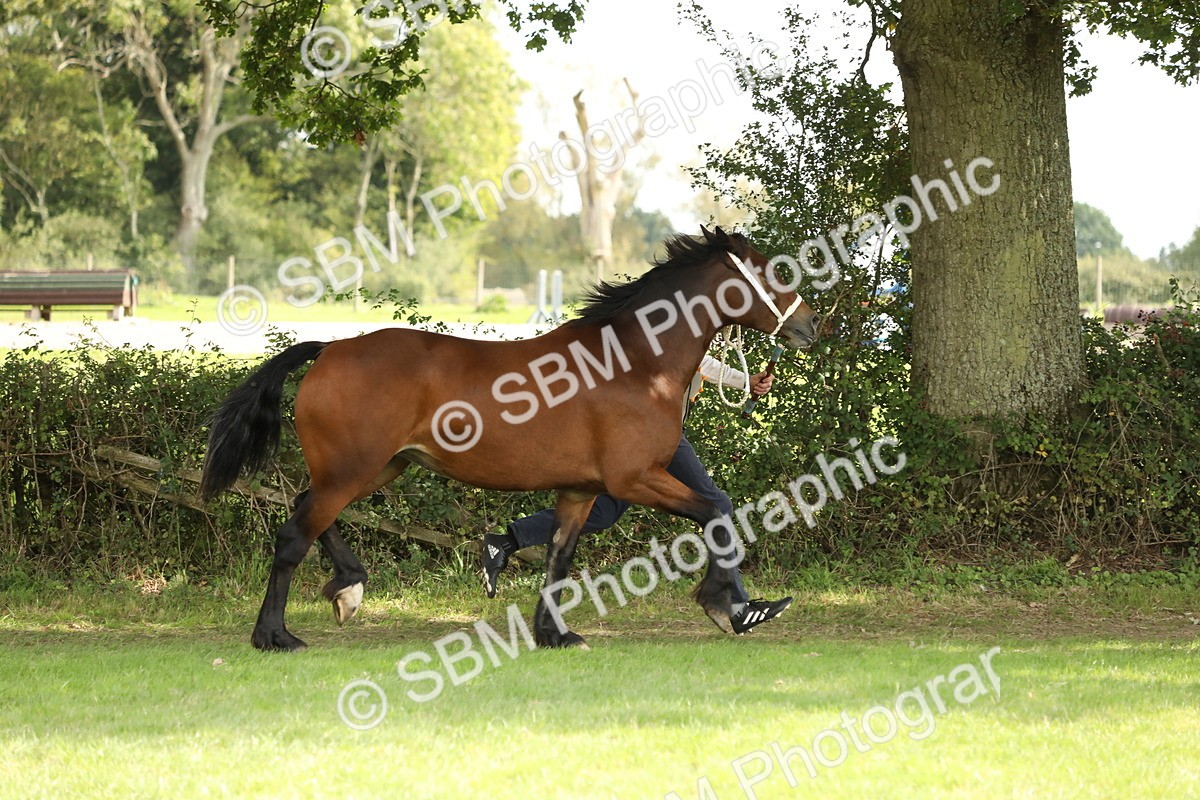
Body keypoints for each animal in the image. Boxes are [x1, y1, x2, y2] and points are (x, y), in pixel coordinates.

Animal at [200, 226, 820, 651]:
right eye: (768, 272)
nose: (810, 325)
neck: (637, 362)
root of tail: (331, 348)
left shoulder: (581, 491)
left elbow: (559, 559)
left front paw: (554, 634)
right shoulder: (635, 479)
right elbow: (716, 511)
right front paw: (729, 608)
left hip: (378, 467)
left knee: (308, 512)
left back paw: (348, 588)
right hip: (353, 470)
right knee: (293, 535)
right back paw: (276, 635)